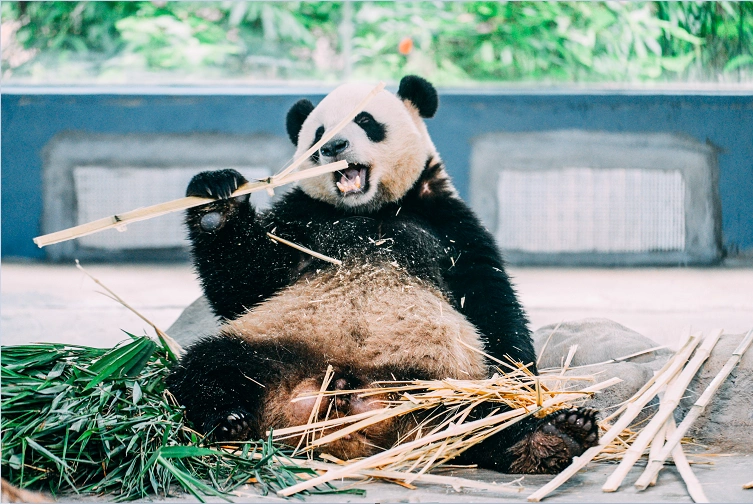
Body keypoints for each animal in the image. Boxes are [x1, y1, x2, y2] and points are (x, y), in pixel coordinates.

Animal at [167, 75, 596, 472]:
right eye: (319, 134)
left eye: (365, 120)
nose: (334, 148)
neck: (372, 210)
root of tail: (349, 403)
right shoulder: (301, 220)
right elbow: (245, 283)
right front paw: (214, 200)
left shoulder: (448, 223)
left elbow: (489, 299)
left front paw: (521, 378)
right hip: (272, 345)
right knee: (208, 368)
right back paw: (228, 419)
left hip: (445, 380)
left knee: (485, 416)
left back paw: (548, 439)